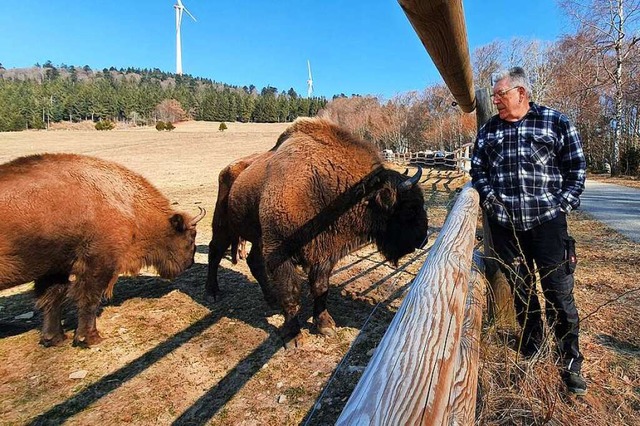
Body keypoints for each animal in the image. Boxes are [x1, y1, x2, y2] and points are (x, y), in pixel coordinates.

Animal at [0, 153, 205, 346]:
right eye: (191, 235)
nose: (189, 263)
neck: (126, 204)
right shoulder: (98, 264)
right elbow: (89, 298)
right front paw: (89, 338)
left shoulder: (55, 268)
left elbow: (53, 298)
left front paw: (54, 339)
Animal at [208, 118, 428, 348]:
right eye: (410, 208)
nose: (423, 239)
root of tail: (227, 169)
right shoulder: (280, 253)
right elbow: (291, 292)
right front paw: (293, 336)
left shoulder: (324, 254)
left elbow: (320, 288)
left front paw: (325, 326)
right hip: (224, 225)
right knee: (215, 251)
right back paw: (213, 292)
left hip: (258, 238)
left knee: (254, 262)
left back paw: (271, 299)